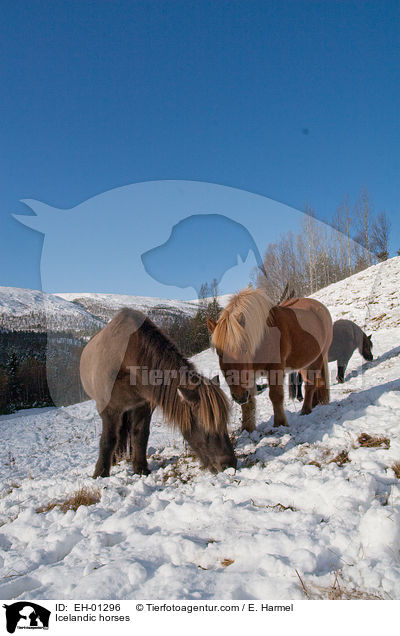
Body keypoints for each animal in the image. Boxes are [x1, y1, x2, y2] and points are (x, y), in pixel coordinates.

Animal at [81, 308, 238, 476]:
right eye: (205, 424)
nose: (229, 464)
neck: (127, 359)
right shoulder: (109, 409)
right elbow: (108, 440)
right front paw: (100, 473)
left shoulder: (143, 406)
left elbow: (140, 435)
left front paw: (141, 468)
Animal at [208, 290, 332, 430]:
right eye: (219, 354)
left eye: (244, 350)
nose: (239, 396)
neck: (263, 337)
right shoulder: (249, 375)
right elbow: (249, 403)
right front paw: (247, 428)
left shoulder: (275, 369)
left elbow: (275, 396)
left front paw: (280, 423)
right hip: (305, 363)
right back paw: (314, 405)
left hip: (318, 358)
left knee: (311, 384)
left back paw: (306, 410)